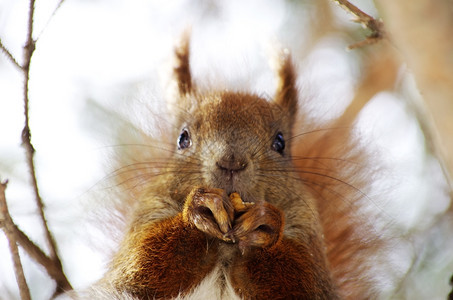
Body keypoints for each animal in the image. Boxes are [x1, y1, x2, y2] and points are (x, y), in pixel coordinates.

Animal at [72, 35, 386, 300]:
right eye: (183, 138)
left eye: (280, 142)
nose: (231, 162)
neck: (227, 244)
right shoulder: (147, 212)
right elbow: (141, 266)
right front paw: (198, 210)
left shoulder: (308, 231)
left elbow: (302, 282)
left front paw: (265, 225)